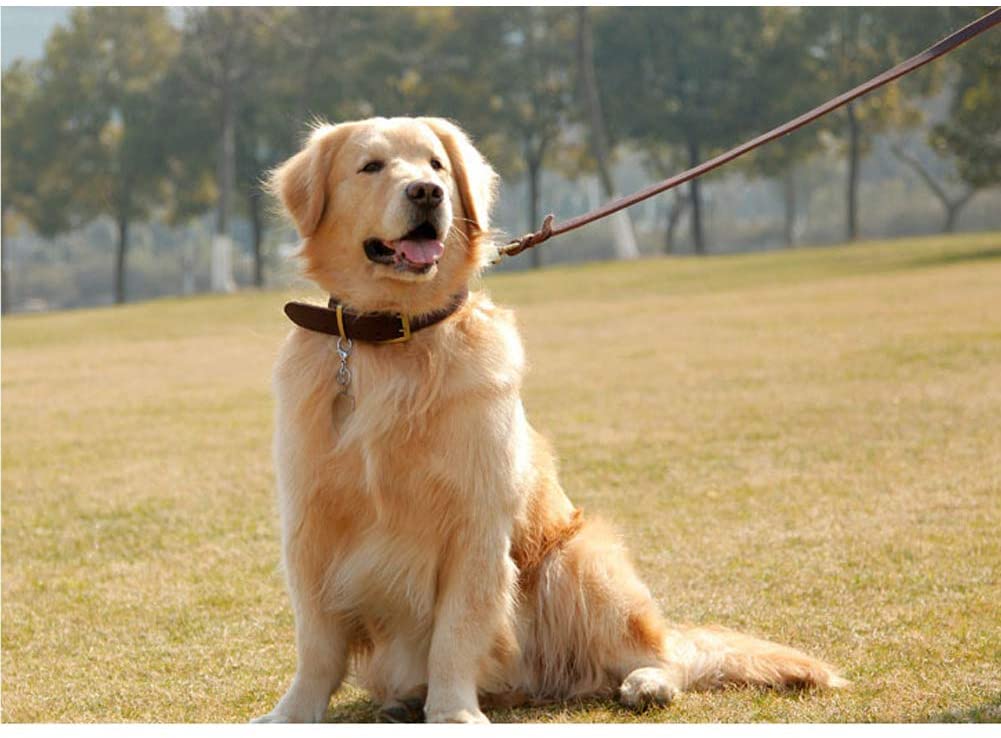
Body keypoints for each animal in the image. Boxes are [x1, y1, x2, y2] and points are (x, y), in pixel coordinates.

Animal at [254, 118, 848, 720]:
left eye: (436, 164)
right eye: (371, 166)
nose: (427, 192)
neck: (394, 334)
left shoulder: (476, 522)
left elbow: (456, 632)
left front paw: (454, 712)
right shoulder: (310, 524)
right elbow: (316, 643)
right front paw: (292, 713)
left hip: (580, 559)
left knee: (662, 655)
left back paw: (647, 683)